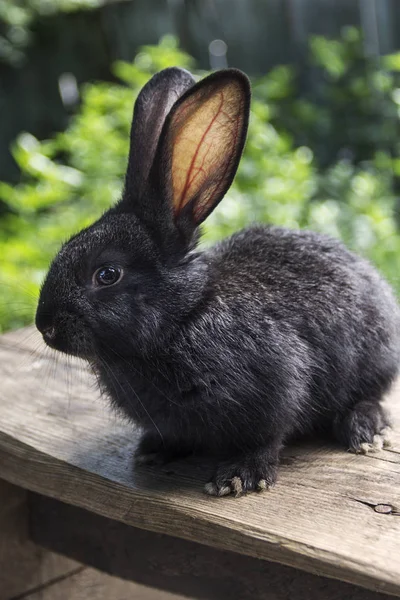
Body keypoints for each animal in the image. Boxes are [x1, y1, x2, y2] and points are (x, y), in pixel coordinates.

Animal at [36, 67, 398, 496]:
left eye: (107, 274)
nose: (44, 325)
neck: (185, 316)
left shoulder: (277, 389)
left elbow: (266, 437)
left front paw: (240, 476)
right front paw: (153, 451)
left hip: (372, 359)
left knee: (370, 396)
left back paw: (365, 431)